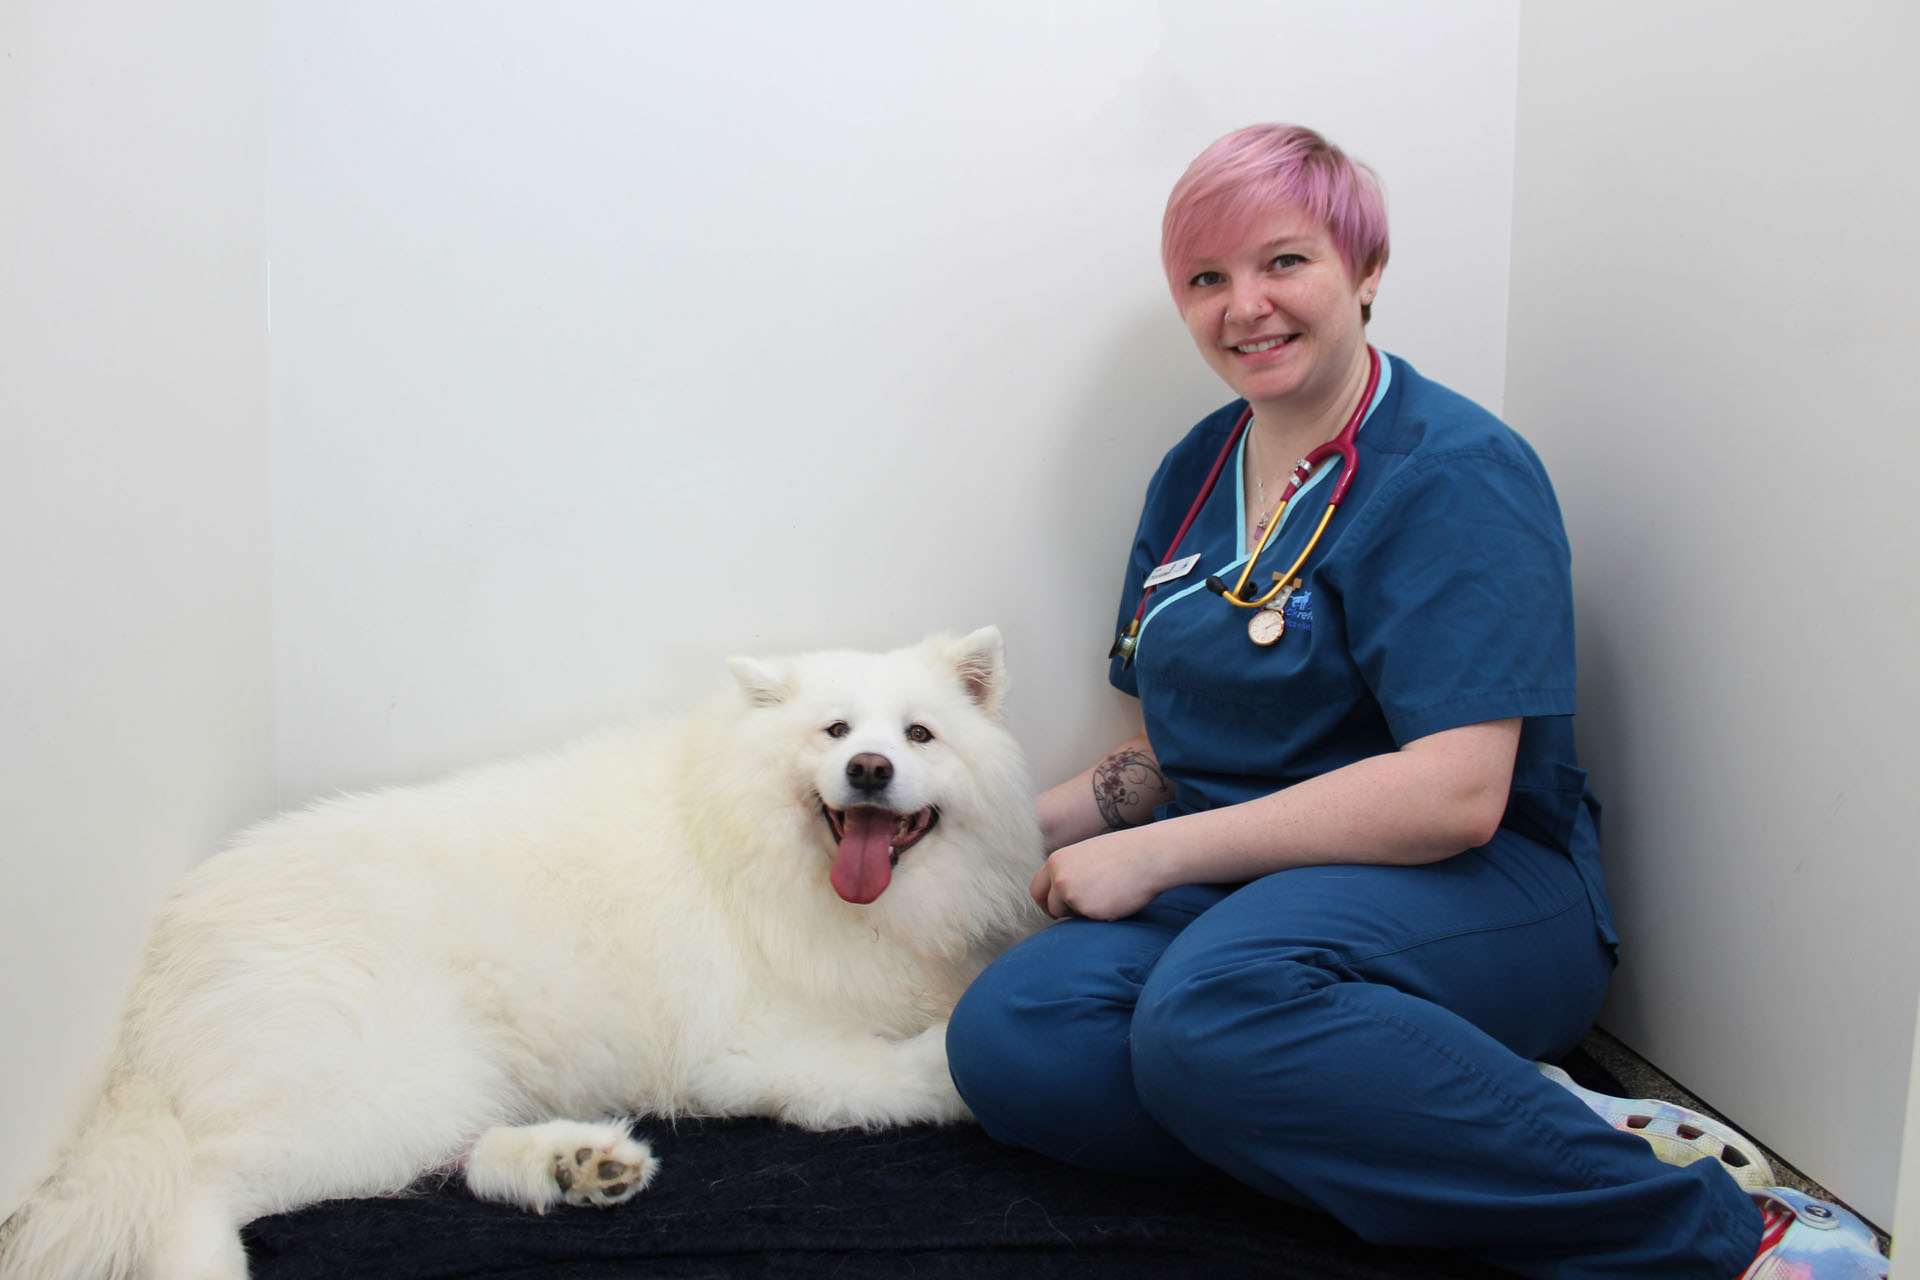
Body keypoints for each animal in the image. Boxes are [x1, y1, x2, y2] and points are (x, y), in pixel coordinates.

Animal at [3, 629, 1052, 1280]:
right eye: (833, 731)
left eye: (919, 734)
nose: (869, 770)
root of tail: (163, 967)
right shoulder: (762, 1054)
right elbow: (911, 1070)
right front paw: (957, 1071)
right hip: (378, 1081)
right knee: (195, 1182)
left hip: (442, 1083)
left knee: (458, 1158)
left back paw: (575, 1165)